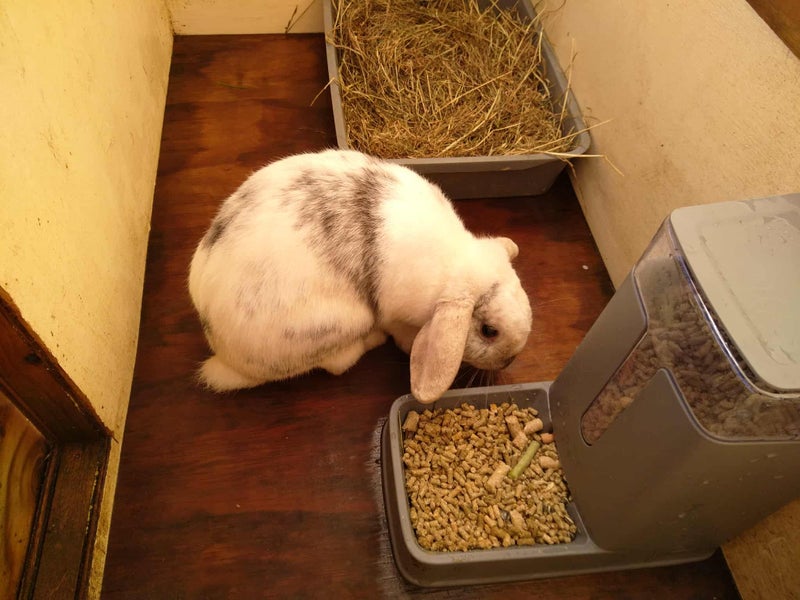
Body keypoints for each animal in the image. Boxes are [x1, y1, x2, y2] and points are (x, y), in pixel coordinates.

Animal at [188, 149, 532, 403]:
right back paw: (372, 339)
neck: (454, 260)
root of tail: (225, 356)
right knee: (339, 363)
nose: (511, 361)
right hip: (340, 324)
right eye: (489, 331)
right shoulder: (397, 316)